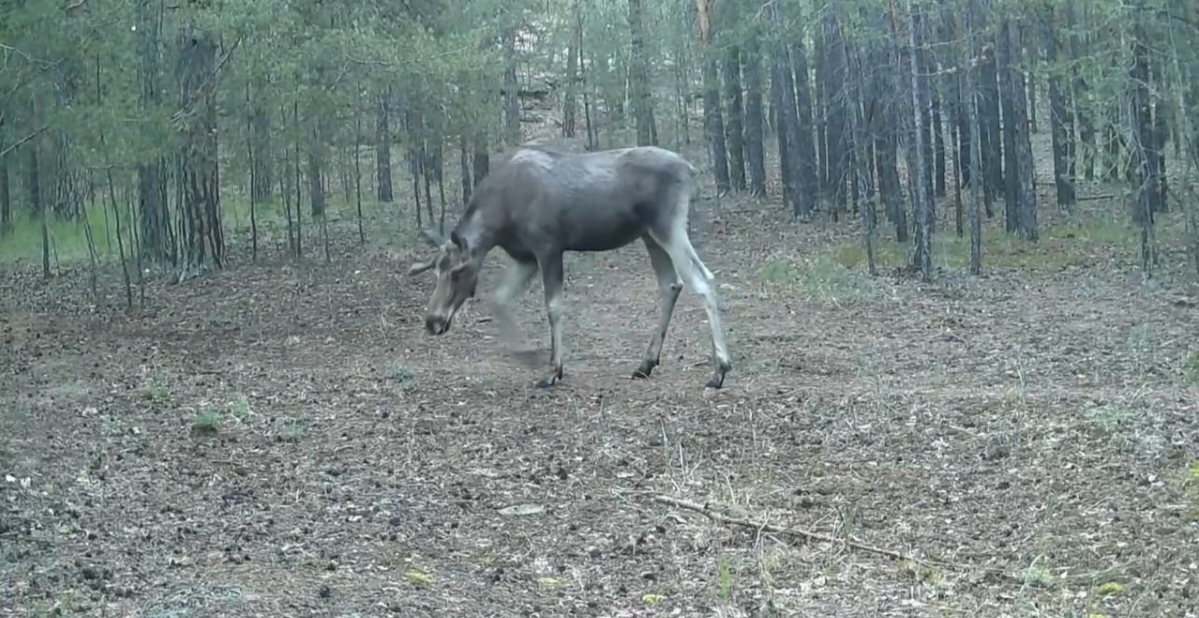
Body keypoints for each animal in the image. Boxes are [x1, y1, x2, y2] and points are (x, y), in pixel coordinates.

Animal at [406, 145, 732, 390]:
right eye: (436, 271)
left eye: (457, 272)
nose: (432, 321)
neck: (499, 220)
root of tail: (690, 169)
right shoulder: (525, 257)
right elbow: (499, 300)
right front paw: (528, 354)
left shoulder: (548, 248)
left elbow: (553, 307)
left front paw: (554, 370)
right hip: (649, 234)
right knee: (671, 284)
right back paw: (646, 362)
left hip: (668, 225)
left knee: (703, 279)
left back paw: (719, 369)